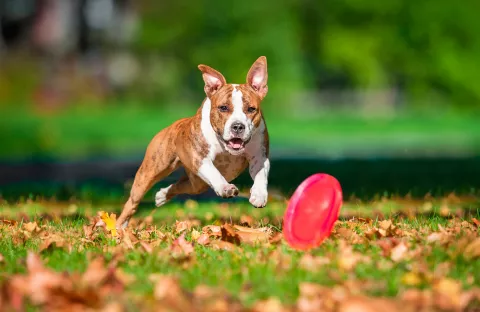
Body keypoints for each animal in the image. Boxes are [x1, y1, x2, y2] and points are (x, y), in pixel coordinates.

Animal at [114, 56, 268, 228]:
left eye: (251, 109)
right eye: (223, 108)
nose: (238, 126)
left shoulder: (260, 156)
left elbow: (261, 175)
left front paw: (259, 195)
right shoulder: (200, 159)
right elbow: (214, 173)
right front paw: (225, 188)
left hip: (197, 184)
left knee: (181, 185)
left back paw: (162, 195)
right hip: (149, 173)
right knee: (132, 202)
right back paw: (119, 226)